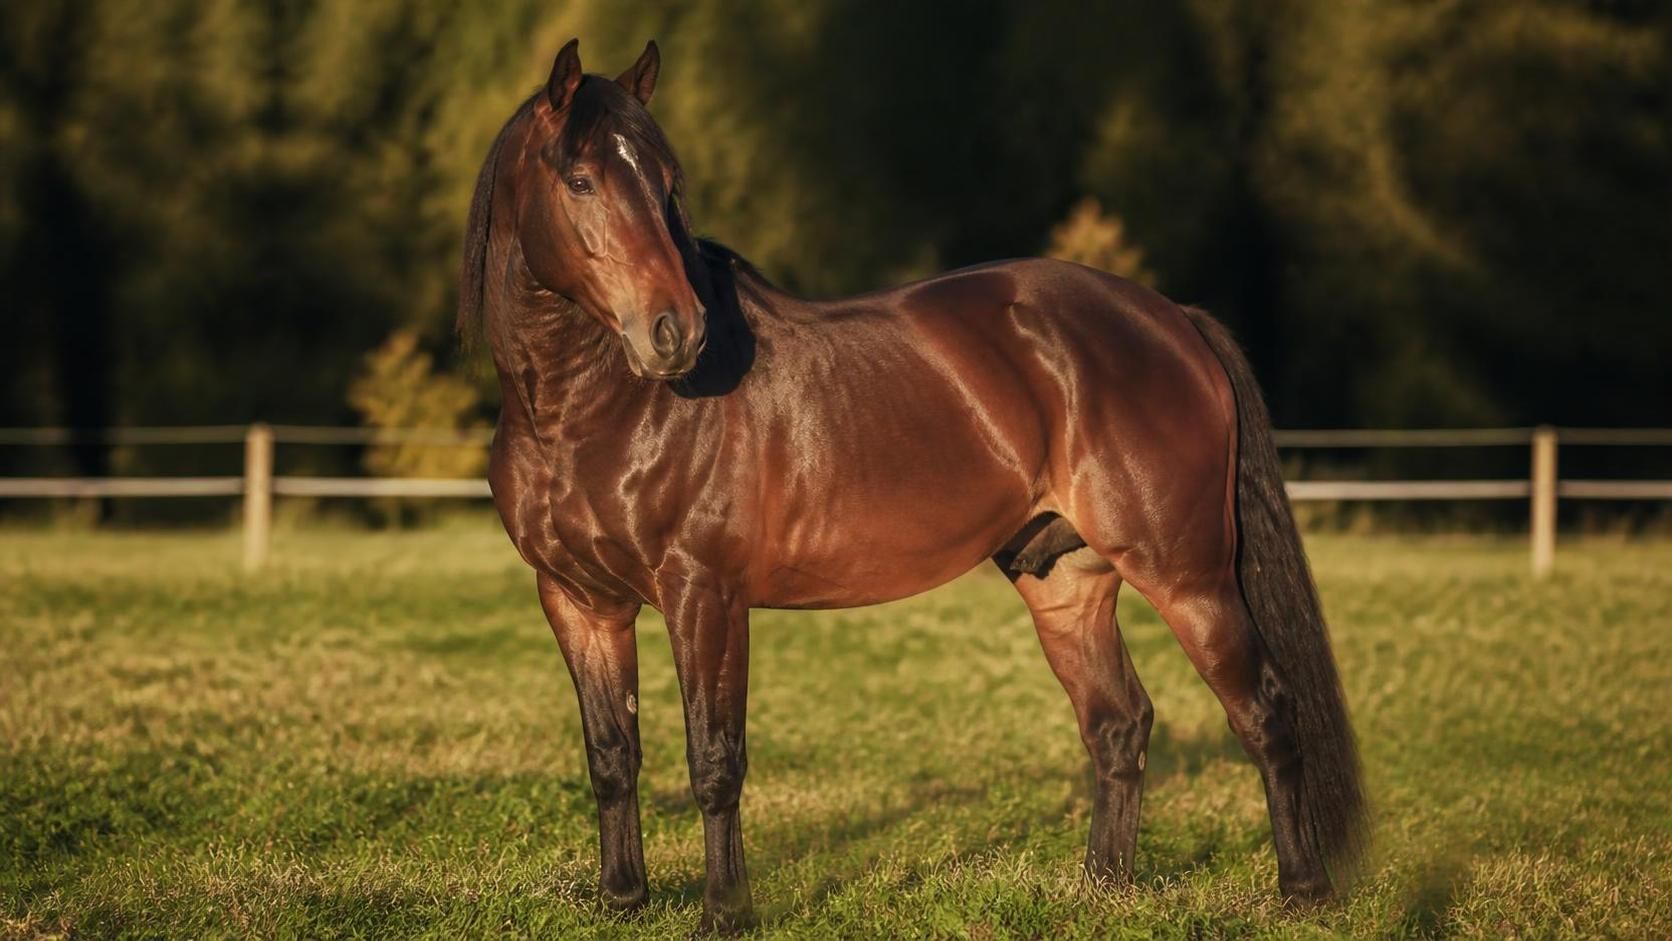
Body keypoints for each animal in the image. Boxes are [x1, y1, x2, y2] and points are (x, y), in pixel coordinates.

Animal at [460, 38, 1366, 933]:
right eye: (581, 181)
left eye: (667, 183)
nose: (675, 333)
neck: (590, 411)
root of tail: (1174, 320)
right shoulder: (577, 600)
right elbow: (612, 753)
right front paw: (622, 898)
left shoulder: (703, 595)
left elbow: (714, 757)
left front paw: (724, 912)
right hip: (1064, 581)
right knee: (1118, 724)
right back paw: (1103, 889)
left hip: (1188, 576)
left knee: (1264, 709)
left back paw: (1302, 888)